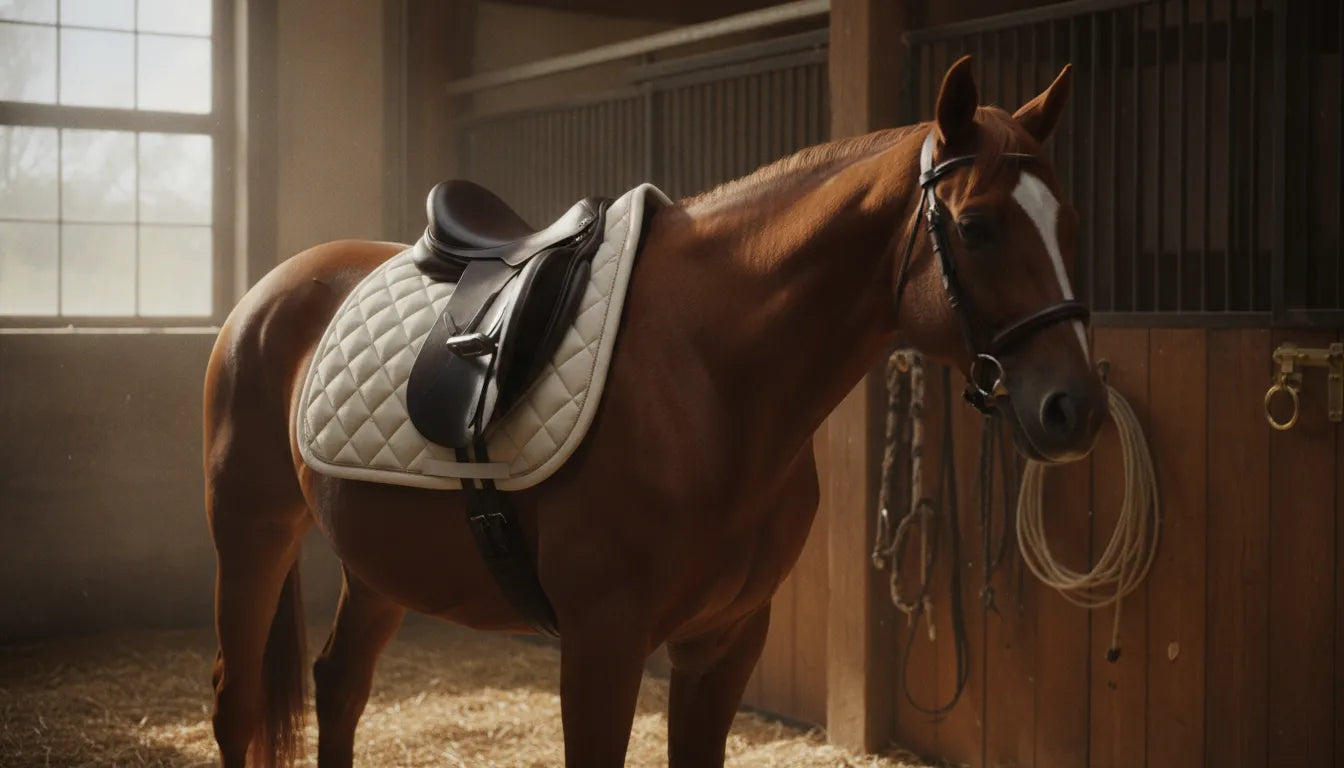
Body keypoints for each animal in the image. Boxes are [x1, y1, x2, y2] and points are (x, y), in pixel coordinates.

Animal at [203, 56, 1105, 768]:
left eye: (1068, 222)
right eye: (978, 226)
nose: (1076, 409)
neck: (709, 374)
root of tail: (269, 291)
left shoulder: (725, 643)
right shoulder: (603, 644)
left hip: (378, 565)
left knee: (340, 687)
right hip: (252, 536)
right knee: (236, 704)